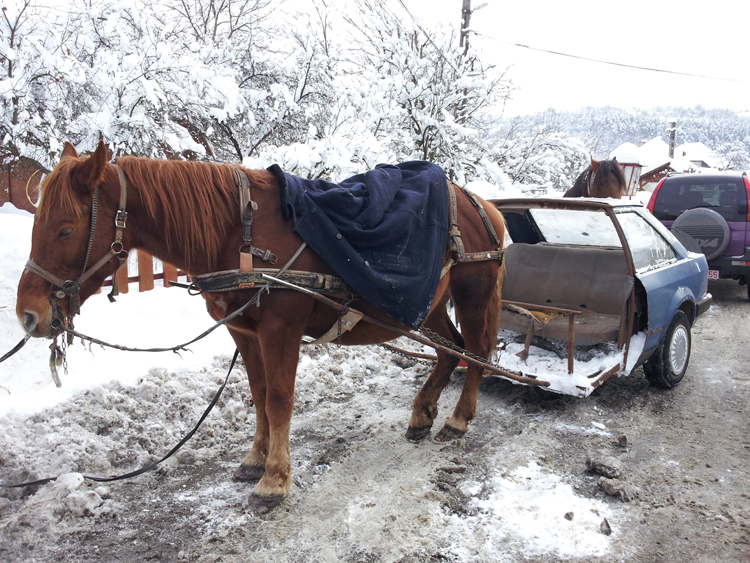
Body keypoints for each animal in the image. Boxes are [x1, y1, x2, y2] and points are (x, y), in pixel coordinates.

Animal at [14, 141, 508, 512]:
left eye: (65, 229)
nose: (29, 314)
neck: (241, 235)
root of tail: (483, 204)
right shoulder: (245, 331)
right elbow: (257, 395)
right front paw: (256, 458)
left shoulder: (280, 330)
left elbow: (279, 399)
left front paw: (274, 479)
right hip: (429, 304)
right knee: (448, 350)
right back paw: (423, 412)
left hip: (472, 293)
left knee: (477, 352)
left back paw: (459, 419)